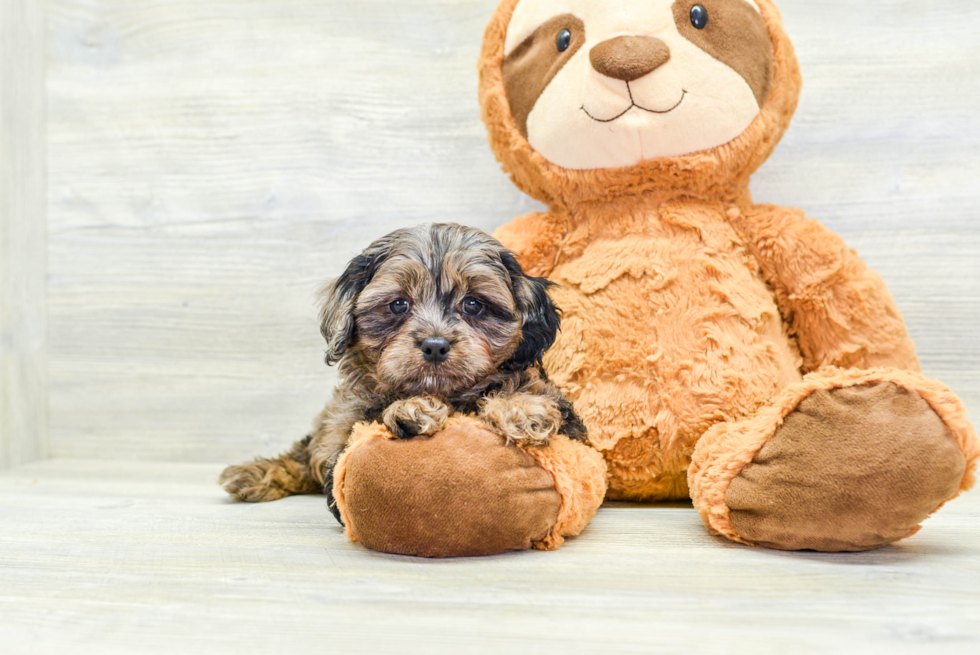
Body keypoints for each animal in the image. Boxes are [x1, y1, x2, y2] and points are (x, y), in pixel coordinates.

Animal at [219, 223, 584, 520]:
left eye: (473, 304)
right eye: (398, 304)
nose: (435, 345)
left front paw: (522, 409)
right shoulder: (344, 432)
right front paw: (412, 409)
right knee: (304, 453)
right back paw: (251, 475)